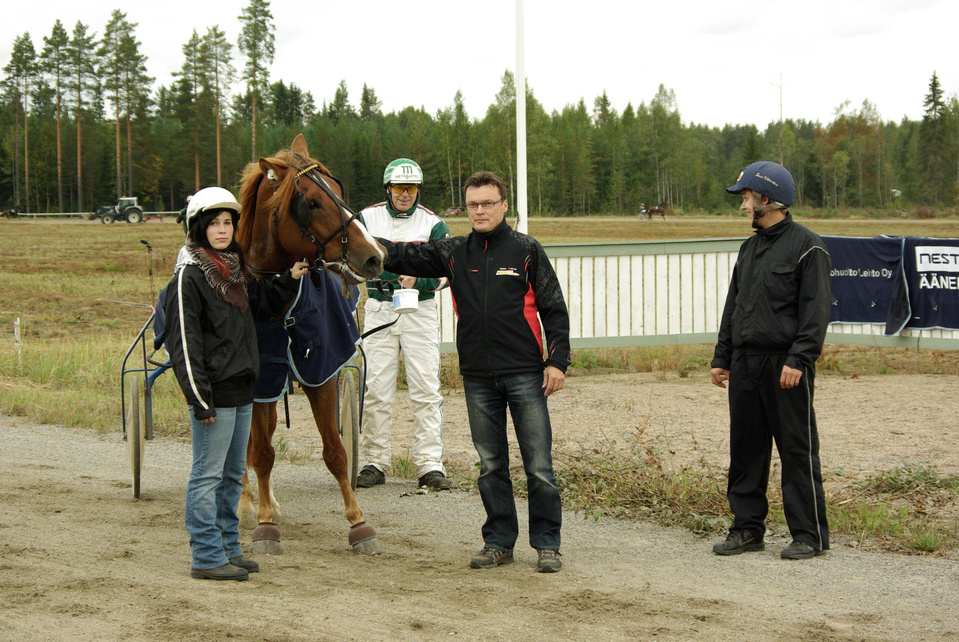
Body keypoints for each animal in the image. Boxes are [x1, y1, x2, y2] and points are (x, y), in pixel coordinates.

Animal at [234, 134, 386, 555]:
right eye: (312, 202)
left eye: (337, 189)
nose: (374, 256)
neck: (275, 293)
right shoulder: (261, 382)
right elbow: (261, 453)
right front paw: (264, 524)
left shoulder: (321, 372)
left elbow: (335, 451)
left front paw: (358, 523)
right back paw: (247, 503)